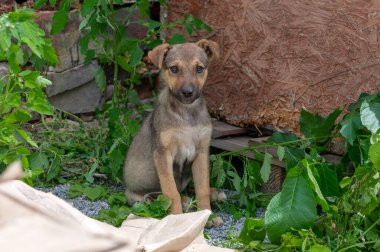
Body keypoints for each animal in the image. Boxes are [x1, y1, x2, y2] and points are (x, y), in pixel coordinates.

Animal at [123, 39, 221, 226]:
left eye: (199, 68)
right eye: (174, 69)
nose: (188, 92)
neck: (186, 112)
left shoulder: (201, 152)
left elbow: (202, 189)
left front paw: (207, 215)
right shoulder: (163, 153)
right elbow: (171, 191)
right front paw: (176, 218)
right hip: (141, 197)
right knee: (158, 197)